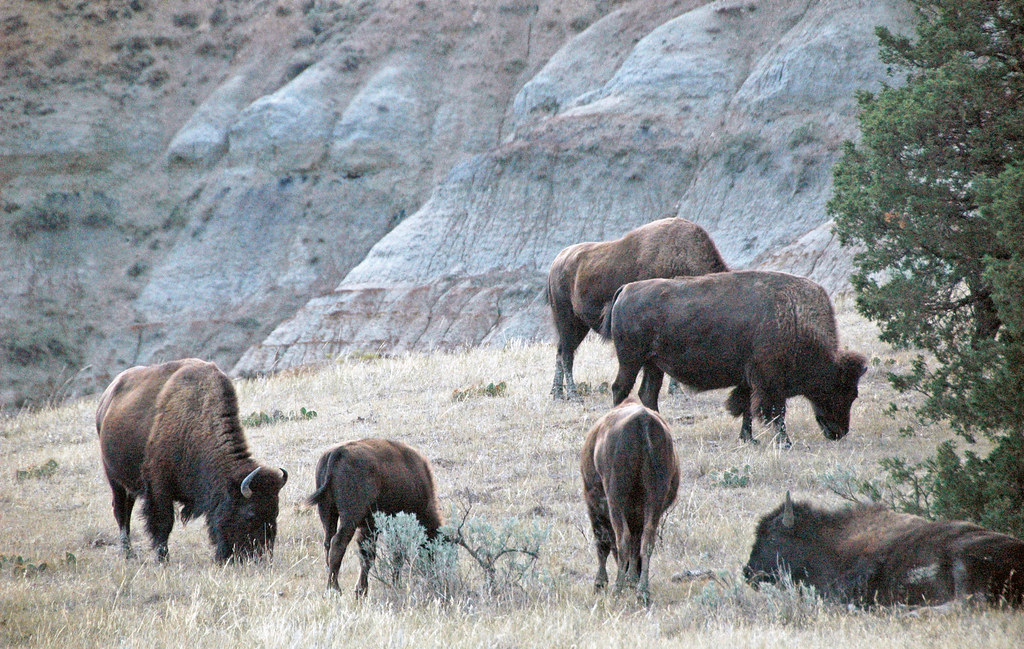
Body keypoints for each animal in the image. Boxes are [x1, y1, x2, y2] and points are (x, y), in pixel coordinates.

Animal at [96, 359, 287, 563]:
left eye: (275, 511)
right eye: (250, 514)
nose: (261, 557)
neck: (196, 425)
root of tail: (106, 398)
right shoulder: (159, 488)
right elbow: (164, 522)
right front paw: (163, 558)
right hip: (114, 479)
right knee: (121, 511)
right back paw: (128, 552)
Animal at [306, 438, 443, 596]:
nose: (433, 573)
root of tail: (337, 452)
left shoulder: (369, 528)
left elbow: (367, 555)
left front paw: (361, 590)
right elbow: (395, 554)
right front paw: (393, 584)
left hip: (327, 512)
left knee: (328, 543)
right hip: (349, 518)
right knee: (338, 543)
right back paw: (335, 589)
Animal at [547, 217, 728, 400]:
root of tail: (557, 262)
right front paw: (677, 392)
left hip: (579, 325)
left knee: (561, 352)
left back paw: (557, 393)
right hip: (567, 319)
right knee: (566, 354)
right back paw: (573, 395)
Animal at [581, 399, 680, 604]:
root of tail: (643, 421)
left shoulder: (594, 503)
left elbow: (602, 544)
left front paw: (600, 583)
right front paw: (633, 580)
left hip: (615, 498)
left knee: (622, 539)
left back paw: (618, 589)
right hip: (654, 499)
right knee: (646, 541)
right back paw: (643, 591)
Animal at [603, 270, 867, 446]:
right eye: (844, 391)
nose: (839, 432)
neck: (792, 318)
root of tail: (626, 289)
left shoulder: (750, 381)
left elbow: (746, 408)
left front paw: (749, 439)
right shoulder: (770, 382)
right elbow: (776, 412)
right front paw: (785, 442)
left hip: (653, 364)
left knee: (647, 393)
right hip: (631, 359)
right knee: (620, 388)